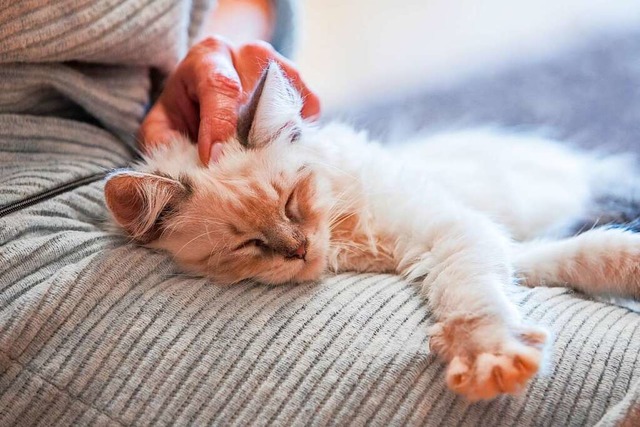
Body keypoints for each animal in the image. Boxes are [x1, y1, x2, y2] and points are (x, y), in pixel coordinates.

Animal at [105, 62, 640, 402]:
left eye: (291, 201)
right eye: (248, 243)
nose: (299, 250)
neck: (354, 238)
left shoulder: (450, 229)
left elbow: (477, 296)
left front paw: (488, 356)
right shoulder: (494, 244)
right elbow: (573, 259)